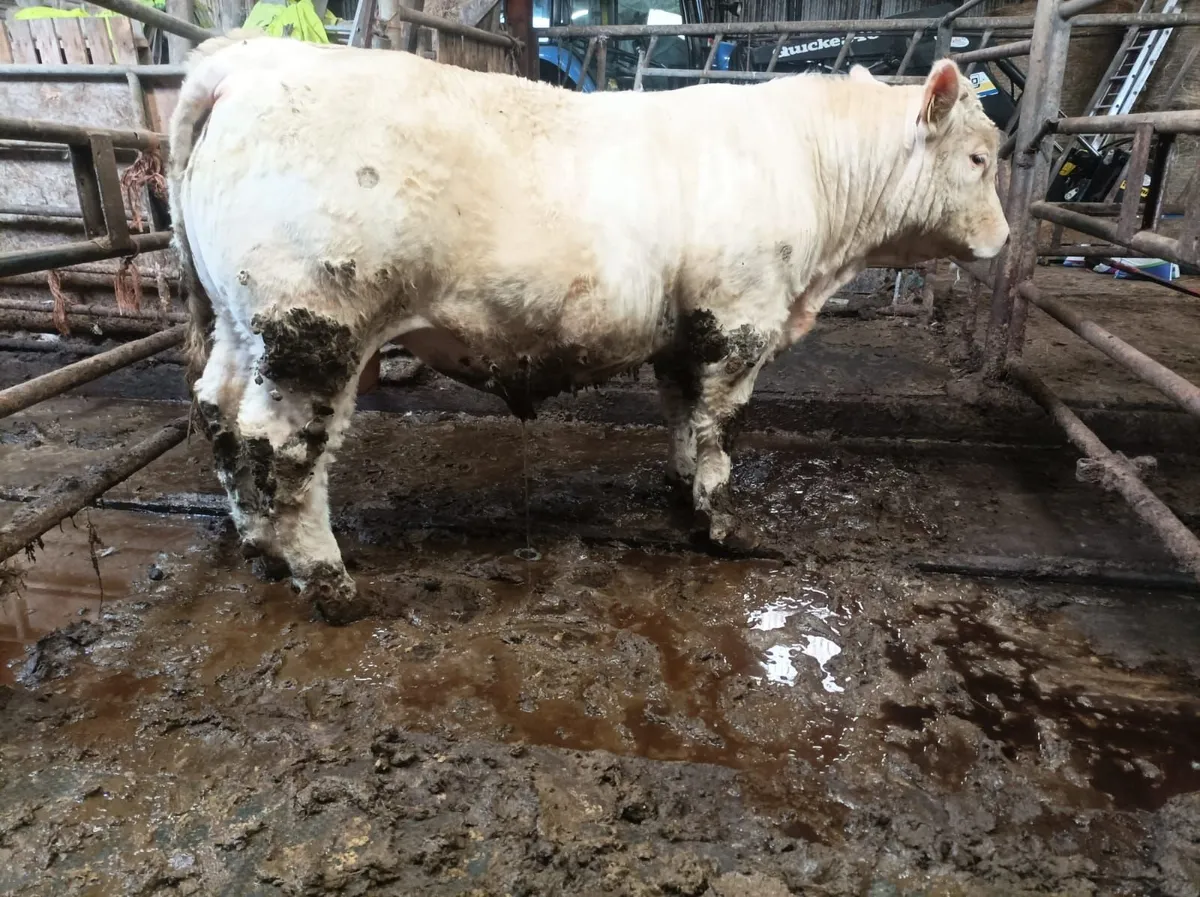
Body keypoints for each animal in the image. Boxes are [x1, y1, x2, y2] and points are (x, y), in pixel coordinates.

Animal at [167, 33, 1008, 624]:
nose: (1003, 240)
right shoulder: (741, 320)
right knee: (282, 448)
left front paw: (679, 489)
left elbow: (682, 412)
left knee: (220, 412)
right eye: (977, 158)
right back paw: (329, 582)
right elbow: (719, 429)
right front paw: (720, 523)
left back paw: (260, 548)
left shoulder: (688, 329)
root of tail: (247, 58)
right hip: (311, 328)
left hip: (244, 328)